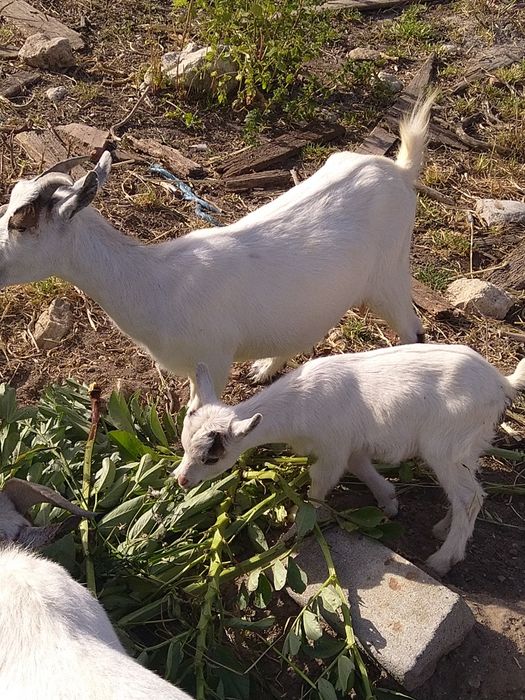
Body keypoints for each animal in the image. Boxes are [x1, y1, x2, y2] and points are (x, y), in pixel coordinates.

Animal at [0, 96, 433, 403]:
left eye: (22, 221)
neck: (156, 282)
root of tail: (400, 171)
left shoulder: (213, 360)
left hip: (390, 275)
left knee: (412, 330)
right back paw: (265, 368)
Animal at [173, 345, 525, 576]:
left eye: (212, 457)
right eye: (184, 444)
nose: (181, 479)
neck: (299, 403)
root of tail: (501, 382)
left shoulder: (333, 448)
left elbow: (320, 485)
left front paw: (296, 528)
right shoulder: (352, 445)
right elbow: (361, 468)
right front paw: (388, 501)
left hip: (445, 446)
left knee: (470, 497)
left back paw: (443, 559)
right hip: (469, 446)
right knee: (468, 490)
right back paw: (442, 529)